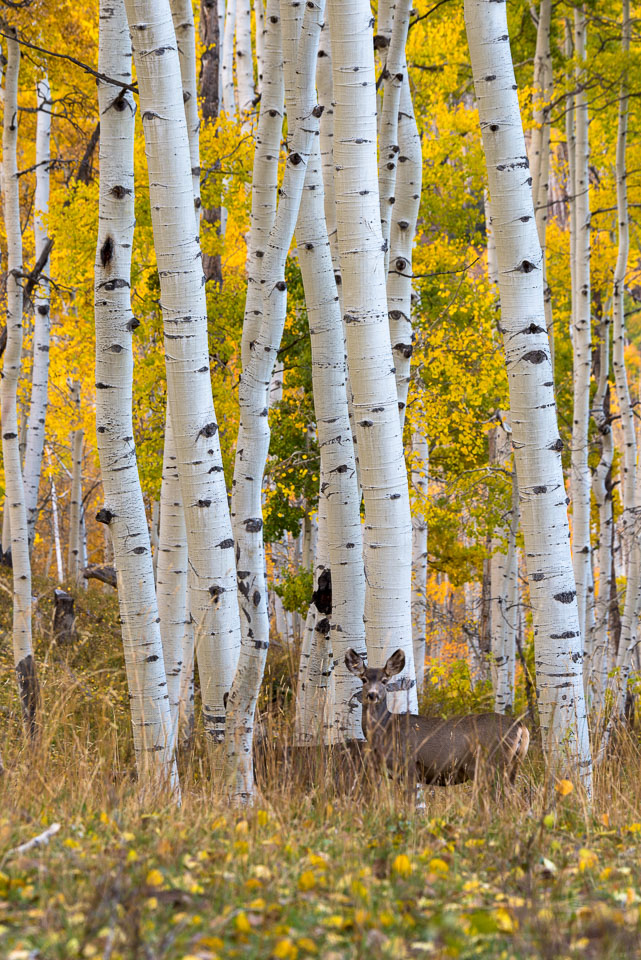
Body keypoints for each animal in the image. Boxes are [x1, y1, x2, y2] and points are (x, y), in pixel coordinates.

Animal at [344, 644, 528, 788]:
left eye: (384, 680)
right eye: (364, 679)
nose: (372, 695)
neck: (385, 729)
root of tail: (522, 727)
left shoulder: (409, 765)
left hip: (494, 763)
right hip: (513, 766)